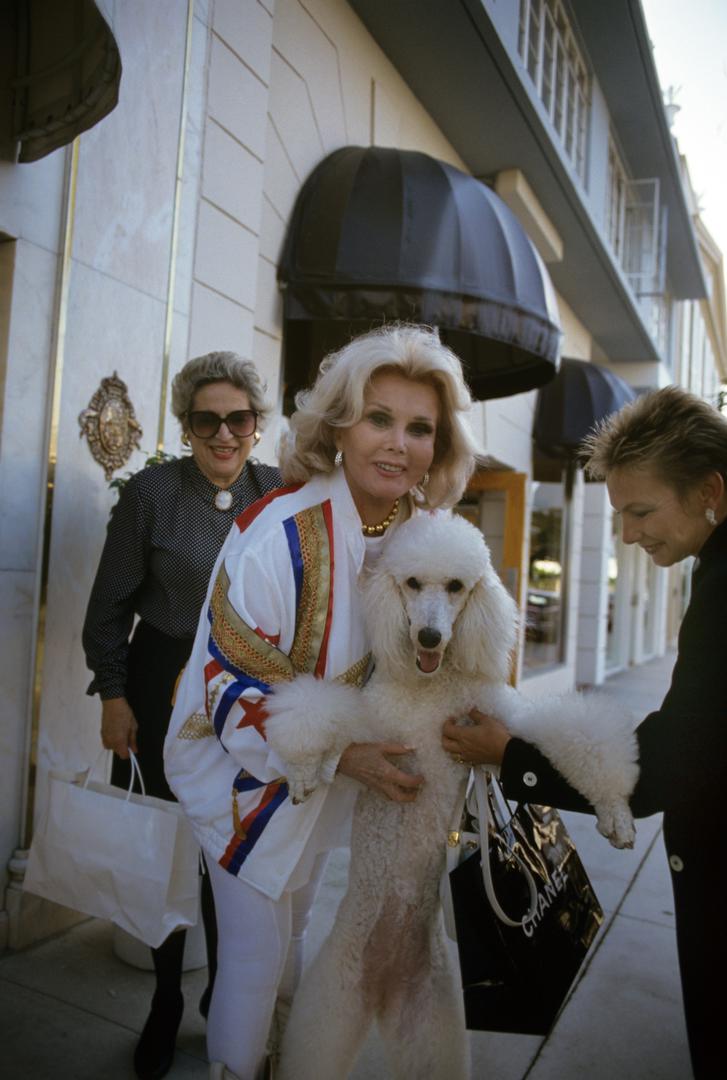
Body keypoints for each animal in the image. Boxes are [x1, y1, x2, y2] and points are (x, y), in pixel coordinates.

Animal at [264, 513, 639, 1079]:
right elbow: (316, 716)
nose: (430, 635)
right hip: (334, 1002)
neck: (428, 690)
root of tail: (383, 988)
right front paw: (305, 770)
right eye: (413, 583)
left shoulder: (502, 720)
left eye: (458, 587)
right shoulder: (371, 725)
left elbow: (576, 739)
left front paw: (615, 810)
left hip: (432, 1021)